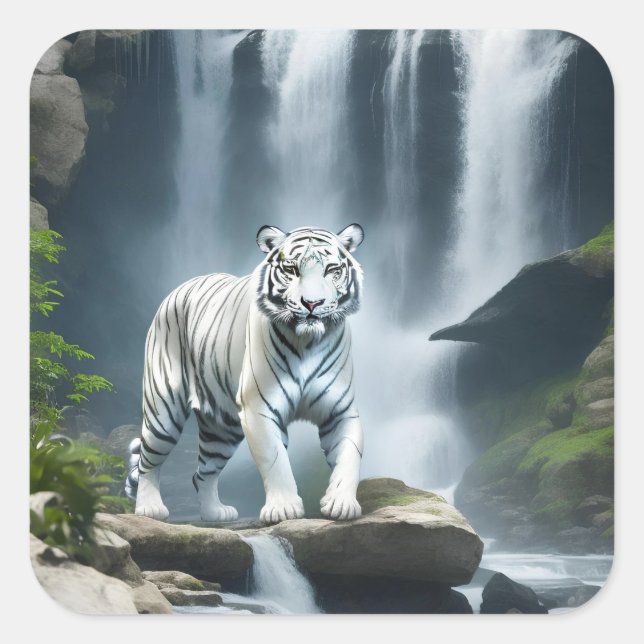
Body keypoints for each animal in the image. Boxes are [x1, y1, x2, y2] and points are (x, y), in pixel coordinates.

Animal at [126, 224, 365, 524]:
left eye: (332, 269)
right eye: (291, 269)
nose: (312, 303)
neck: (308, 341)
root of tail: (180, 287)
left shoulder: (341, 411)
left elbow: (349, 456)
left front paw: (342, 504)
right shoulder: (259, 408)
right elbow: (275, 459)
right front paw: (284, 508)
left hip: (222, 429)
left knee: (202, 472)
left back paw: (214, 513)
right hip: (164, 411)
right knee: (148, 460)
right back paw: (150, 508)